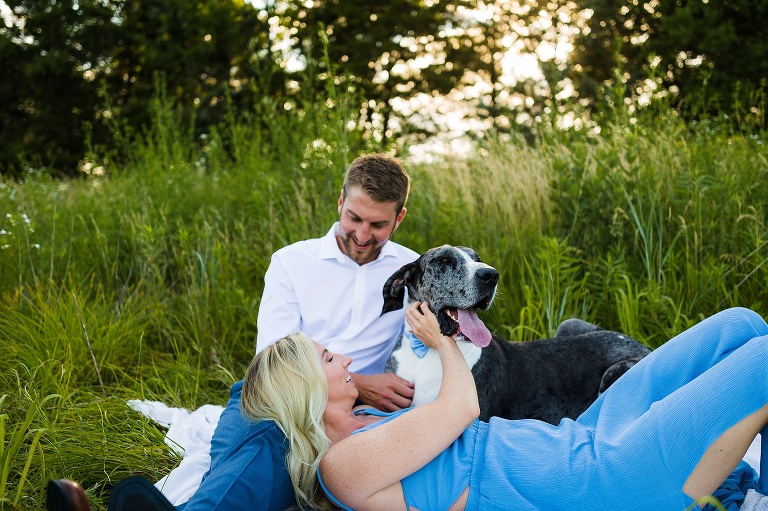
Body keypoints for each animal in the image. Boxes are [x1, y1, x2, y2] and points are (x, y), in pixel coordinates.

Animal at [380, 246, 652, 426]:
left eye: (478, 259)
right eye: (444, 260)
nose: (490, 275)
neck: (427, 351)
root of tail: (645, 346)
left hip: (615, 371)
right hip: (569, 324)